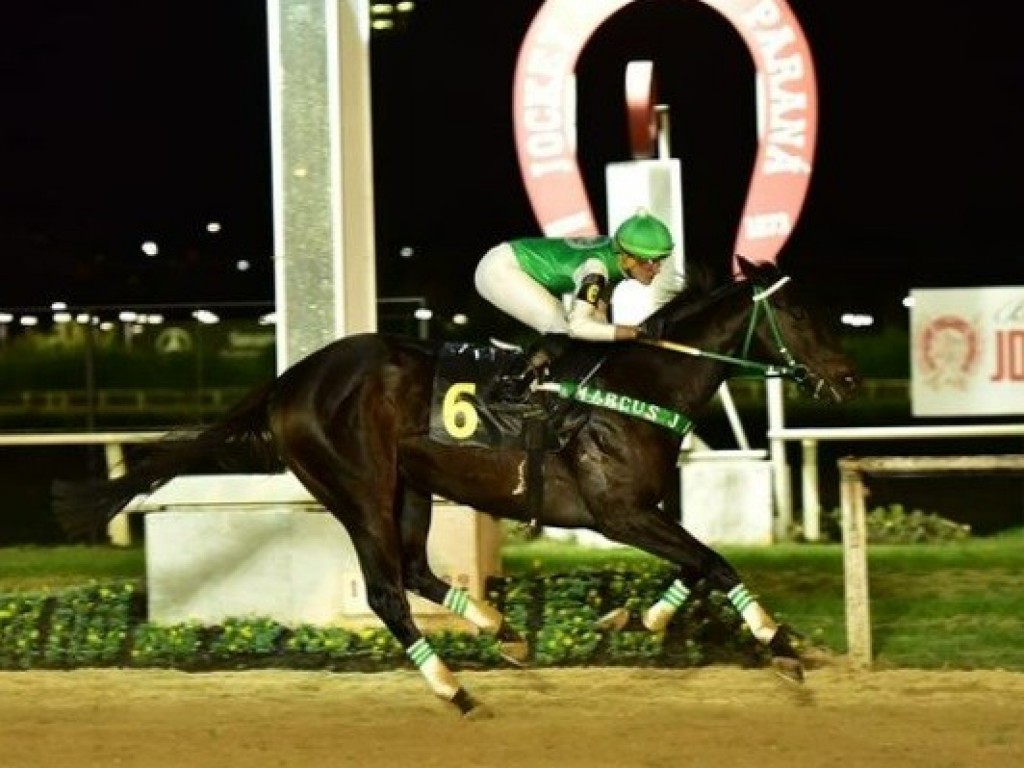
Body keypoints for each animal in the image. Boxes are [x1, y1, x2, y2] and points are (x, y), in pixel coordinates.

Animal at [54, 256, 856, 720]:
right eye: (800, 314)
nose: (846, 378)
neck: (639, 384)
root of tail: (291, 379)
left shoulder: (639, 511)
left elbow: (699, 562)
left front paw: (642, 618)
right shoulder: (617, 511)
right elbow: (714, 559)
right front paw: (780, 646)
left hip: (411, 486)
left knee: (415, 570)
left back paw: (505, 633)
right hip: (360, 490)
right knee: (387, 592)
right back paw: (453, 688)